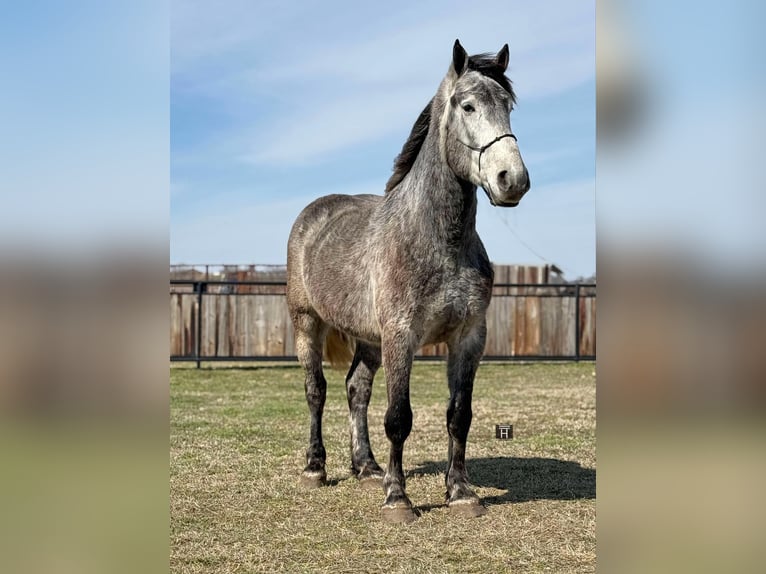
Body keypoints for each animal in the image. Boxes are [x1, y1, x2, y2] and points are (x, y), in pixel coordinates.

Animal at [286, 39, 530, 523]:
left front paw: (461, 493)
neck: (438, 239)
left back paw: (366, 467)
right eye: (468, 105)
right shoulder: (402, 336)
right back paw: (316, 467)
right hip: (308, 323)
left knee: (356, 391)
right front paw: (398, 499)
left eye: (509, 106)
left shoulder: (469, 337)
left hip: (369, 339)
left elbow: (459, 415)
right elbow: (399, 418)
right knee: (316, 391)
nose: (512, 180)